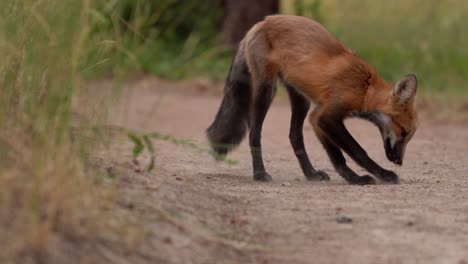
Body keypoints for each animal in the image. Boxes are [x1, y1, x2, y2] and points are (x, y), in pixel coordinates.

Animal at [207, 15, 418, 185]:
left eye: (409, 136)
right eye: (404, 132)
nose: (399, 162)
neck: (365, 89)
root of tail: (262, 22)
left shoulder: (317, 118)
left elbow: (337, 157)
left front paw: (353, 179)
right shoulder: (327, 116)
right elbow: (357, 151)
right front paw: (382, 175)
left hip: (301, 100)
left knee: (294, 136)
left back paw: (310, 173)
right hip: (266, 90)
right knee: (254, 134)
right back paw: (259, 173)